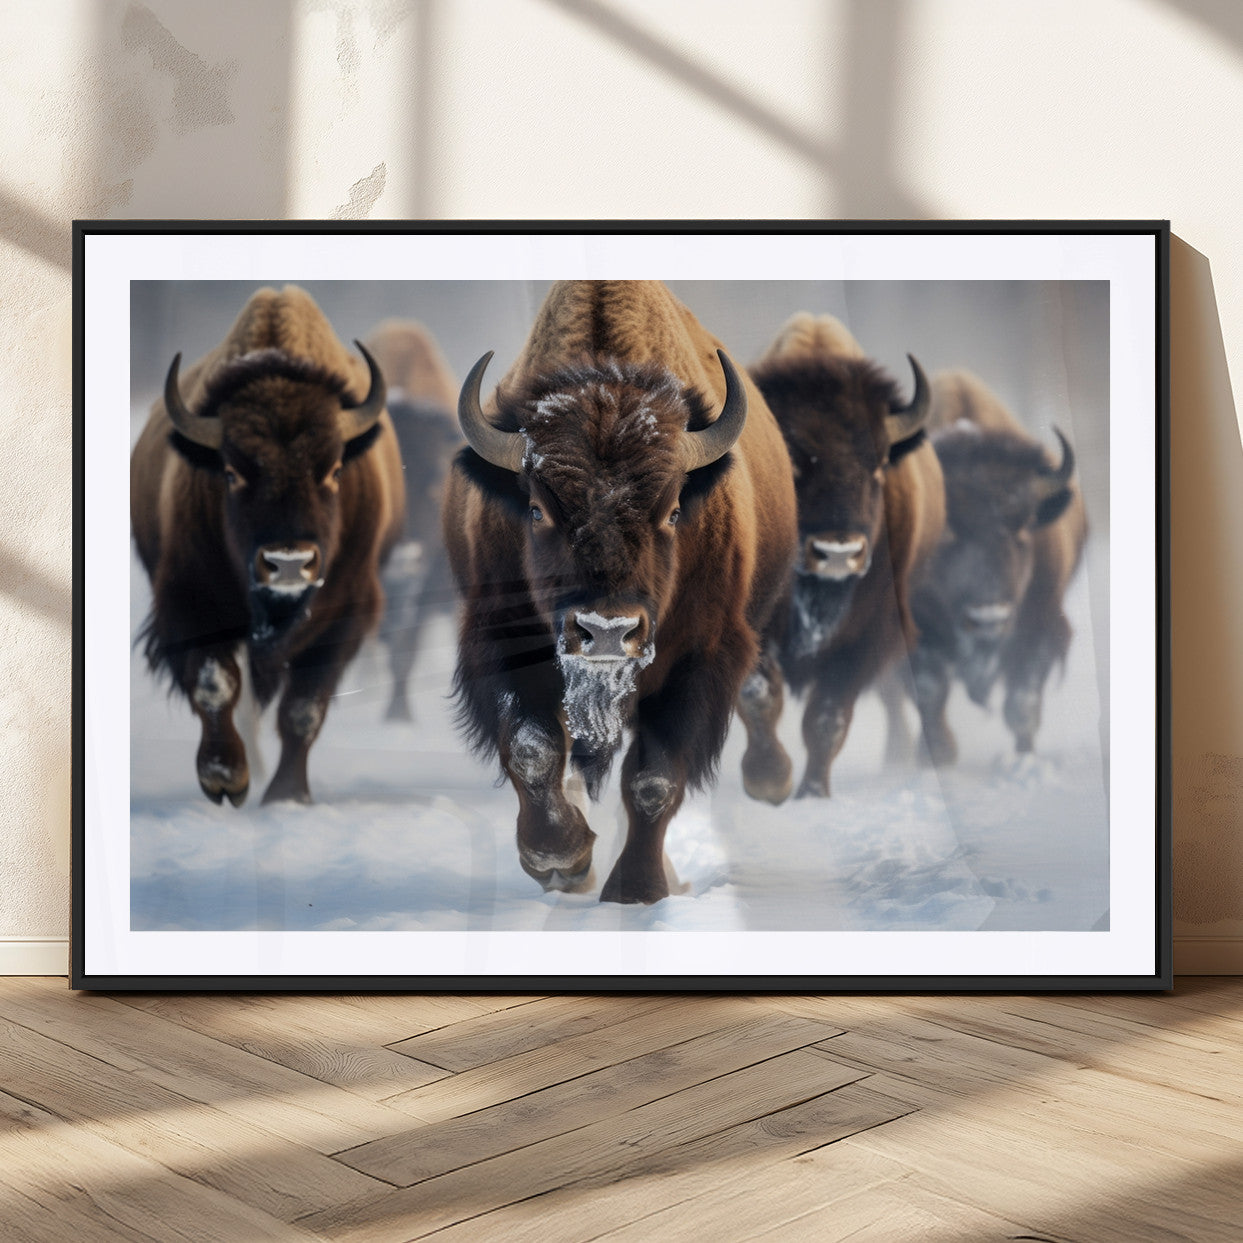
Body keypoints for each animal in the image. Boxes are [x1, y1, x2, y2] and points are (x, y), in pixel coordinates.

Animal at [131, 285, 404, 805]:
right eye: (232, 472)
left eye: (334, 470)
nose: (288, 563)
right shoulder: (191, 601)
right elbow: (215, 684)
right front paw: (225, 779)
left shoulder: (344, 614)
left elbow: (303, 707)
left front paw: (286, 796)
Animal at [442, 280, 797, 903]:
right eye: (536, 509)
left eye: (674, 509)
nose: (607, 631)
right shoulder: (503, 642)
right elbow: (533, 749)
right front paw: (559, 857)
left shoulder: (698, 659)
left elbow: (653, 780)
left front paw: (636, 891)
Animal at [736, 313, 945, 799]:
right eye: (792, 463)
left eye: (879, 464)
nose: (837, 552)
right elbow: (759, 695)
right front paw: (770, 782)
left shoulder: (866, 639)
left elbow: (827, 717)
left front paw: (812, 793)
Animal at [903, 369, 1087, 762]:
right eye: (946, 533)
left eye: (1022, 531)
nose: (989, 618)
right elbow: (930, 694)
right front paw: (938, 756)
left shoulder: (1041, 626)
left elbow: (1021, 703)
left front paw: (1024, 759)